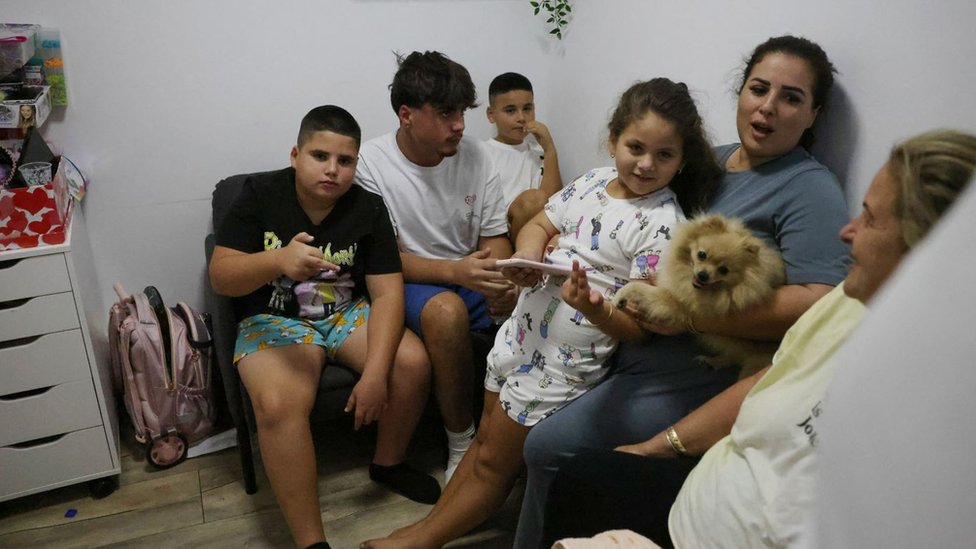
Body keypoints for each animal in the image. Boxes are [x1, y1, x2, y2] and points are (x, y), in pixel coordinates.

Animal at [616, 212, 784, 374]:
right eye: (702, 254)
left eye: (724, 270)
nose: (703, 275)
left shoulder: (672, 302)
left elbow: (637, 287)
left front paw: (620, 297)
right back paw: (713, 361)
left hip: (755, 361)